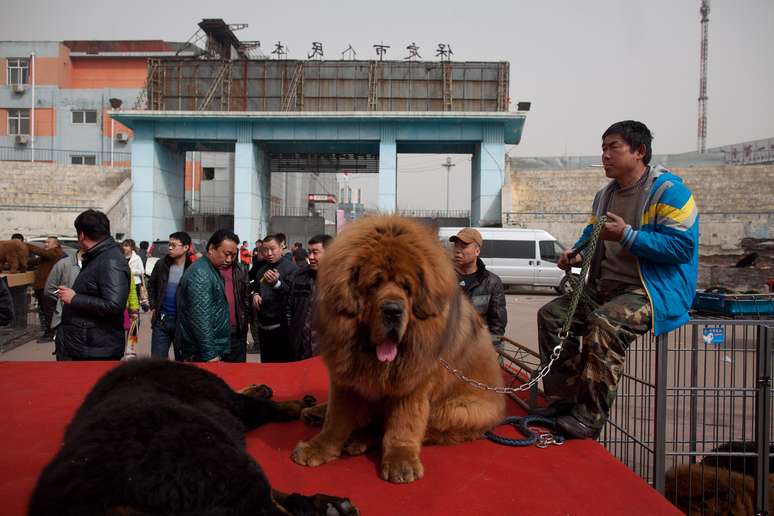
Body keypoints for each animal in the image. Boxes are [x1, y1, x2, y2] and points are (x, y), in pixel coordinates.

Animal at [294, 216, 506, 482]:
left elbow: (403, 423)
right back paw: (318, 413)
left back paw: (359, 439)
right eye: (374, 284)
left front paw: (400, 460)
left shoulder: (414, 381)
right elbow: (337, 416)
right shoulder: (344, 375)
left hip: (459, 410)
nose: (393, 311)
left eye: (406, 287)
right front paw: (319, 447)